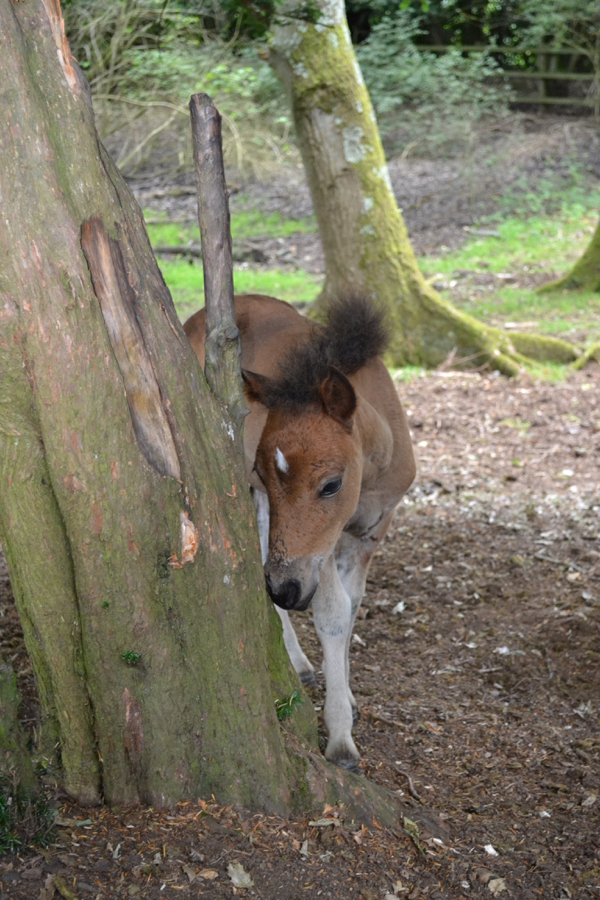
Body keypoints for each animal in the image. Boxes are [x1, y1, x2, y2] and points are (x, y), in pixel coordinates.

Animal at [185, 298, 414, 772]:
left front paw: (346, 695)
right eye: (265, 470)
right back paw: (297, 659)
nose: (286, 589)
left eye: (330, 485)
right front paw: (340, 736)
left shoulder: (370, 531)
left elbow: (353, 605)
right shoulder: (314, 550)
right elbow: (331, 612)